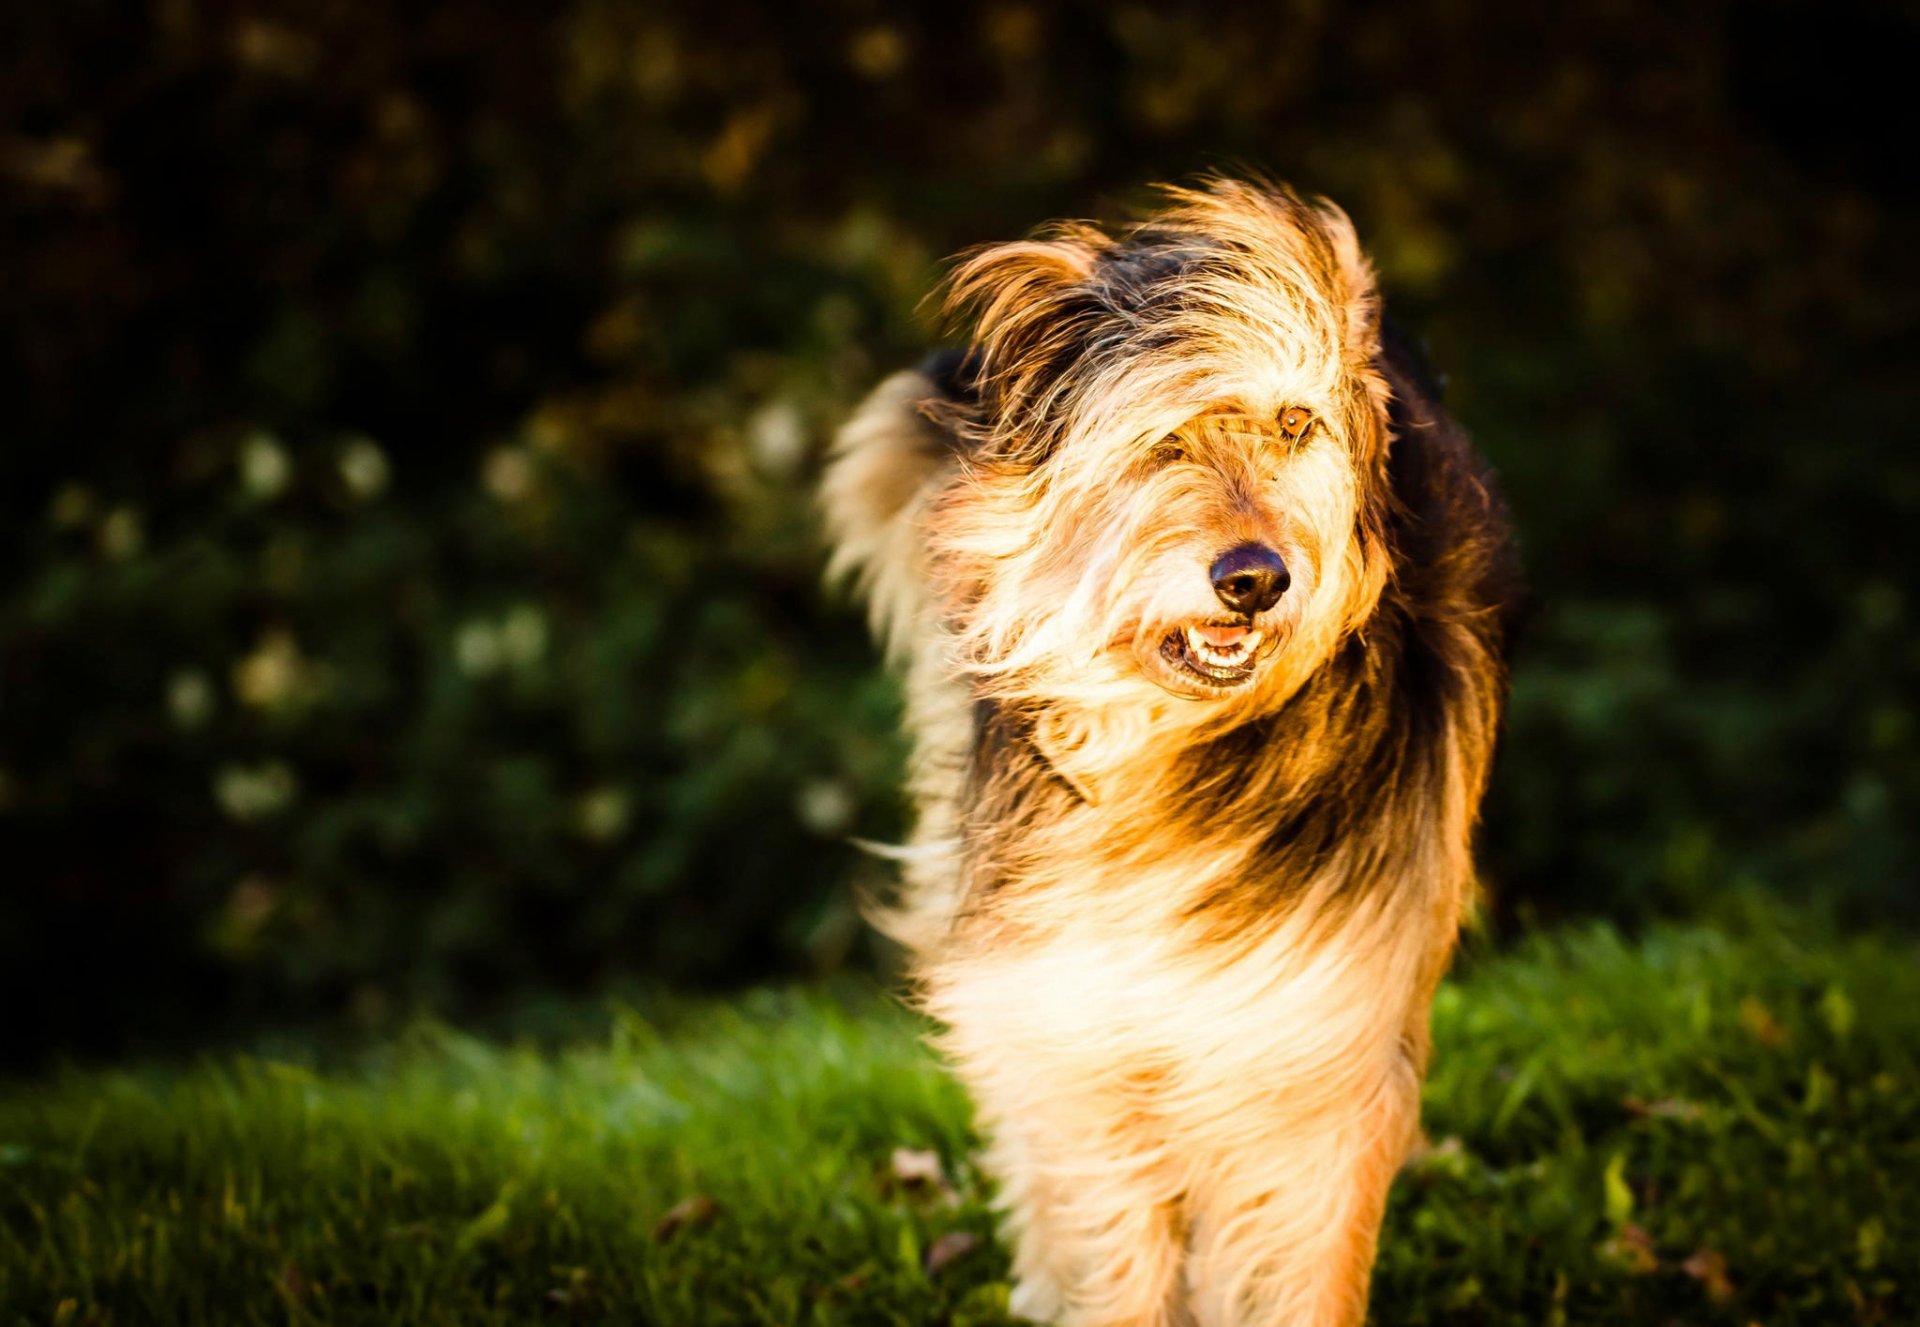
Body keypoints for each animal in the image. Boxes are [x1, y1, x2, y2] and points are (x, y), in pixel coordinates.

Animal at [817, 179, 1520, 1327]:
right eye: (1162, 443)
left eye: (1294, 424)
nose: (1256, 578)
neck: (1178, 750)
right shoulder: (1075, 1012)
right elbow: (1107, 1225)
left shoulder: (1317, 1025)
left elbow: (1305, 1257)